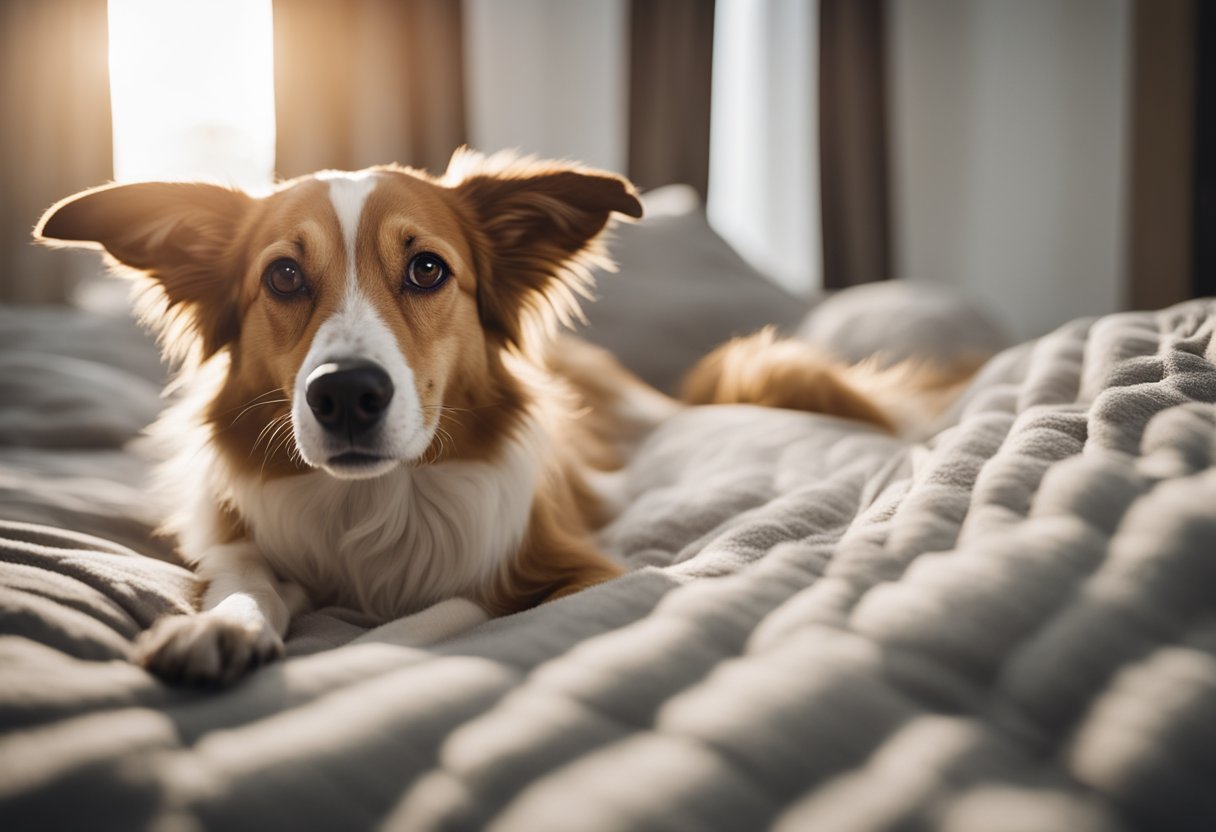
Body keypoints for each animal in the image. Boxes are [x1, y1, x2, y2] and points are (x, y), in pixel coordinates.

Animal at [38, 150, 671, 690]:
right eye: (284, 276)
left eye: (426, 268)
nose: (344, 393)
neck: (369, 501)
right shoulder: (233, 538)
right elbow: (244, 574)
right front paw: (222, 625)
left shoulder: (584, 574)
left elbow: (455, 607)